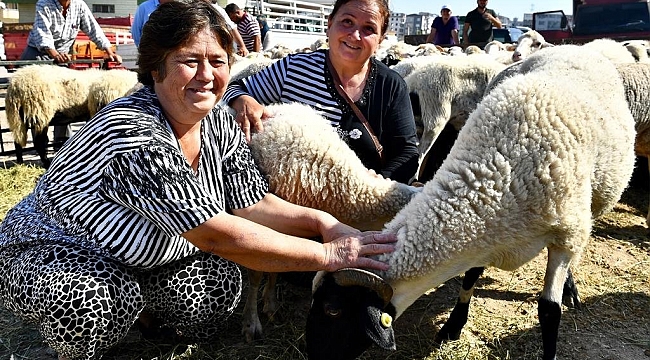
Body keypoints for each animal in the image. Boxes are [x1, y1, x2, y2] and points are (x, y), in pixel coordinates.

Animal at [306, 44, 636, 360]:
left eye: (332, 310)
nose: (311, 356)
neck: (500, 170)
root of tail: (573, 48)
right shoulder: (487, 233)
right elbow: (470, 276)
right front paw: (454, 325)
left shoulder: (565, 234)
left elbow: (549, 311)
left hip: (590, 208)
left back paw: (570, 286)